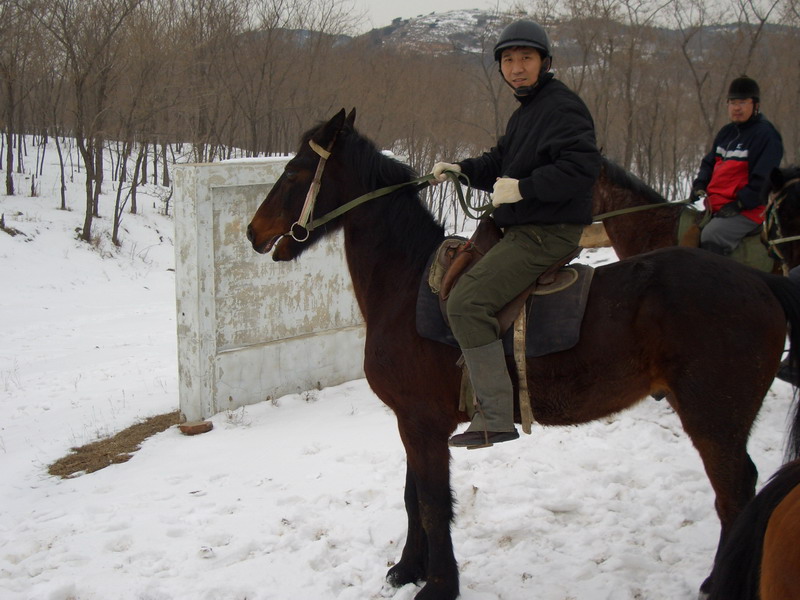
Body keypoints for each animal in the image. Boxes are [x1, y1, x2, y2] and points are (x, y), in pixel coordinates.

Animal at [248, 109, 800, 600]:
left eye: (295, 171)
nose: (253, 232)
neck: (406, 286)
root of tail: (760, 283)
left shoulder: (422, 424)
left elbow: (432, 504)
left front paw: (440, 586)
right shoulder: (413, 421)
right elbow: (412, 498)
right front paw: (407, 570)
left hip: (715, 422)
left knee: (735, 496)